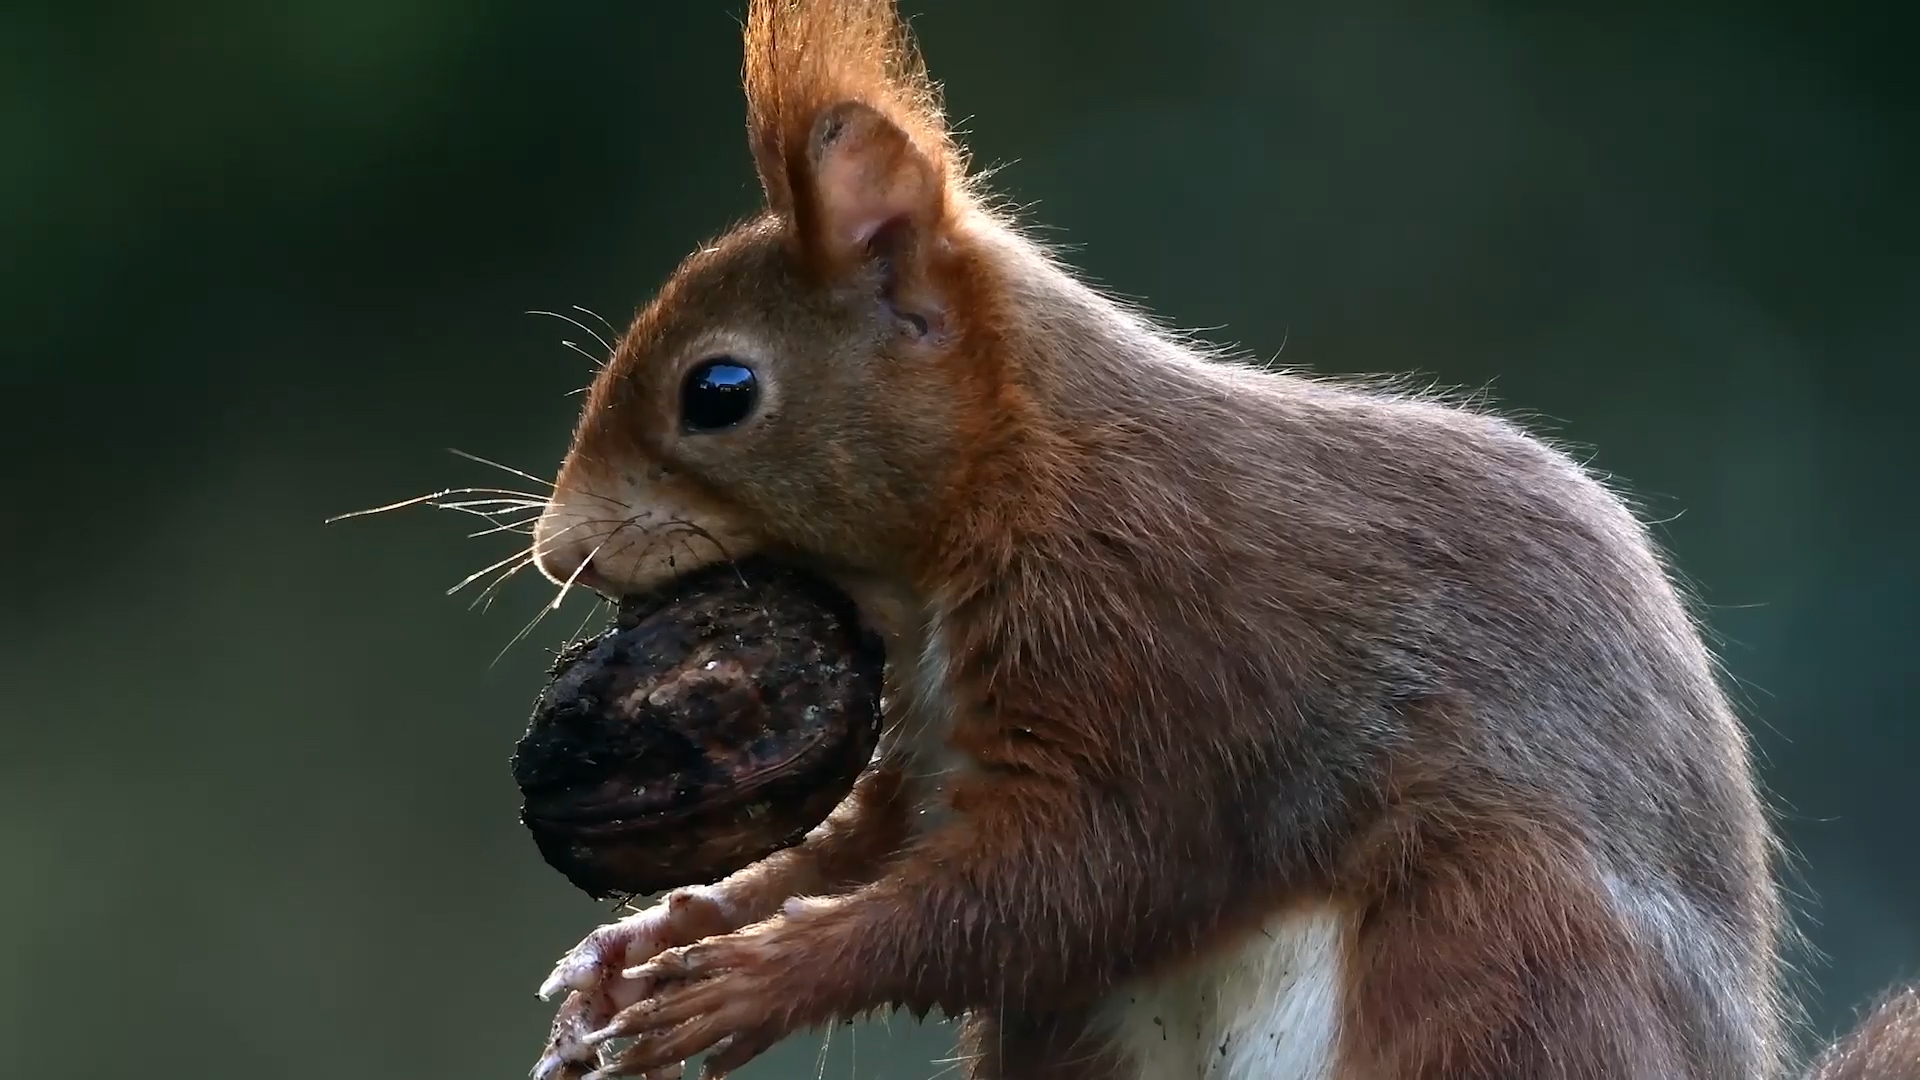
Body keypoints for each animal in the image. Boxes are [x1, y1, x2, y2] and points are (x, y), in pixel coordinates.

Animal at [518, 4, 1912, 1068]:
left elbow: (1078, 879)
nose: (555, 552)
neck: (1003, 493)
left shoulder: (1171, 646)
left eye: (719, 392)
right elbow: (872, 845)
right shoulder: (938, 747)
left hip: (1499, 952)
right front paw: (655, 936)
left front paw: (749, 979)